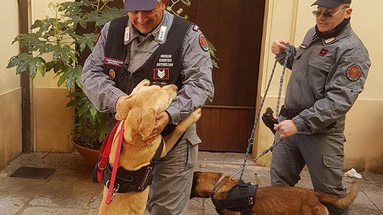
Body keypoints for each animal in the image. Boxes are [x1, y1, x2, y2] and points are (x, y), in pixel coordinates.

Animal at [97, 80, 202, 214]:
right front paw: (193, 115)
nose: (175, 86)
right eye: (167, 99)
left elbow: (130, 97)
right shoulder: (163, 147)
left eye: (158, 86)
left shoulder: (121, 125)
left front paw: (142, 84)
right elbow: (179, 128)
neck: (132, 139)